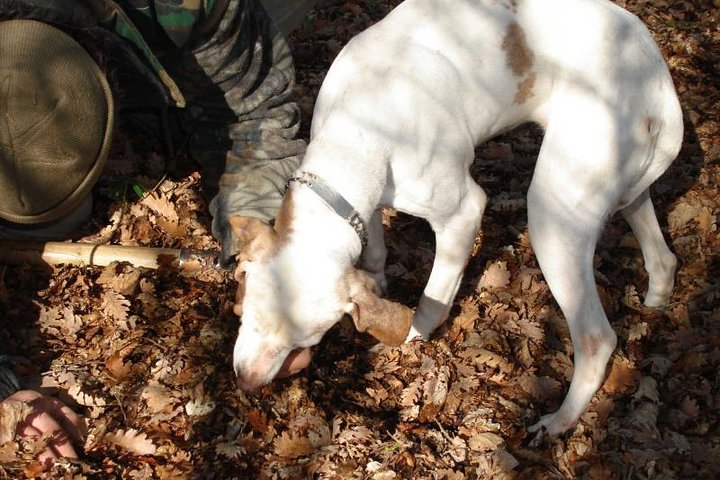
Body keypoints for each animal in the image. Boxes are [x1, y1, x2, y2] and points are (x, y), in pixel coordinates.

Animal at [231, 0, 680, 440]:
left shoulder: (463, 214)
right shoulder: (364, 204)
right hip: (626, 191)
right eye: (252, 312)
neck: (362, 123)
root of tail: (657, 78)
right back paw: (656, 301)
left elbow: (433, 298)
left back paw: (559, 421)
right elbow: (373, 253)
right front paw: (376, 284)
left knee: (596, 338)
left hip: (555, 214)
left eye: (307, 337)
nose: (246, 382)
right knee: (662, 256)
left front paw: (409, 340)